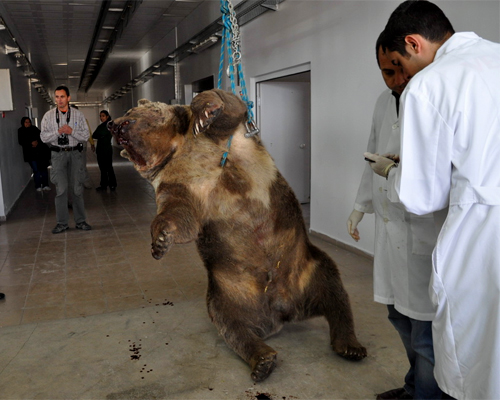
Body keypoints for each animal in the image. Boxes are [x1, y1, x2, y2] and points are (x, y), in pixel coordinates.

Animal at [108, 89, 368, 382]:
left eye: (129, 112)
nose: (112, 125)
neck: (176, 149)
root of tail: (283, 310)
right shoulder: (177, 184)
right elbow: (180, 215)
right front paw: (160, 240)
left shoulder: (225, 140)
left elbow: (229, 107)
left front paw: (205, 111)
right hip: (228, 291)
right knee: (231, 324)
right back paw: (262, 360)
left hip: (307, 266)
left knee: (334, 291)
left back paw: (350, 345)